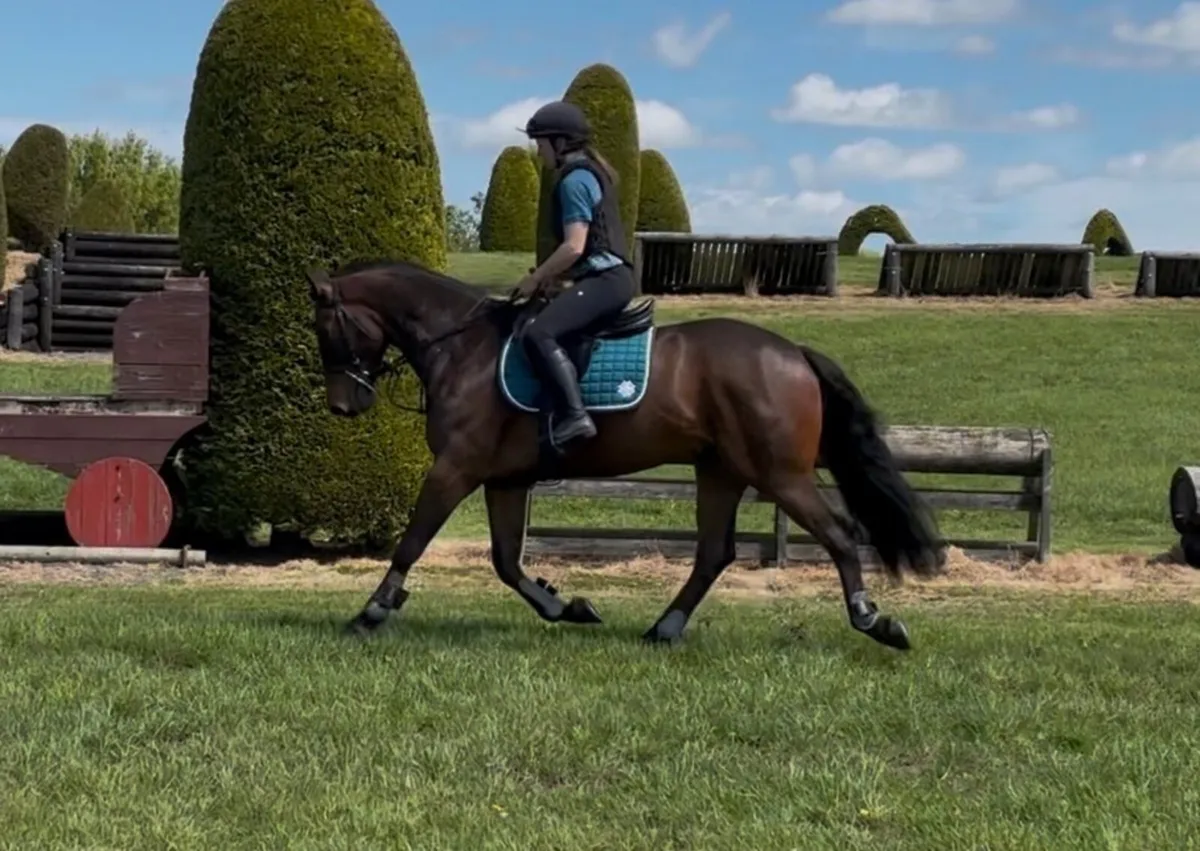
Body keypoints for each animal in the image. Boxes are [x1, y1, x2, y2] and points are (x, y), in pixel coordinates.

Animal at [305, 258, 945, 650]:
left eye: (325, 330)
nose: (343, 405)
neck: (463, 349)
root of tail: (791, 351)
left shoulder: (455, 469)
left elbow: (413, 541)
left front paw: (372, 611)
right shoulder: (504, 480)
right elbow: (507, 562)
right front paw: (567, 607)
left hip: (779, 475)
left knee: (839, 534)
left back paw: (873, 620)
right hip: (721, 471)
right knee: (714, 553)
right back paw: (665, 628)